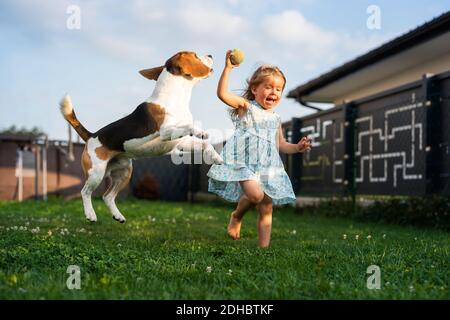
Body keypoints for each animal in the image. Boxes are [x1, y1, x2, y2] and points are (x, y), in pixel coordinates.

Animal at [59, 51, 224, 224]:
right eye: (195, 55)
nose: (210, 55)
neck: (174, 97)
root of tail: (91, 136)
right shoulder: (165, 132)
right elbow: (189, 127)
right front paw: (200, 131)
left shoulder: (180, 142)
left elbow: (206, 144)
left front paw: (216, 157)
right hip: (96, 173)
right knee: (85, 192)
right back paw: (90, 214)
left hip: (125, 173)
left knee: (107, 196)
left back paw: (118, 216)